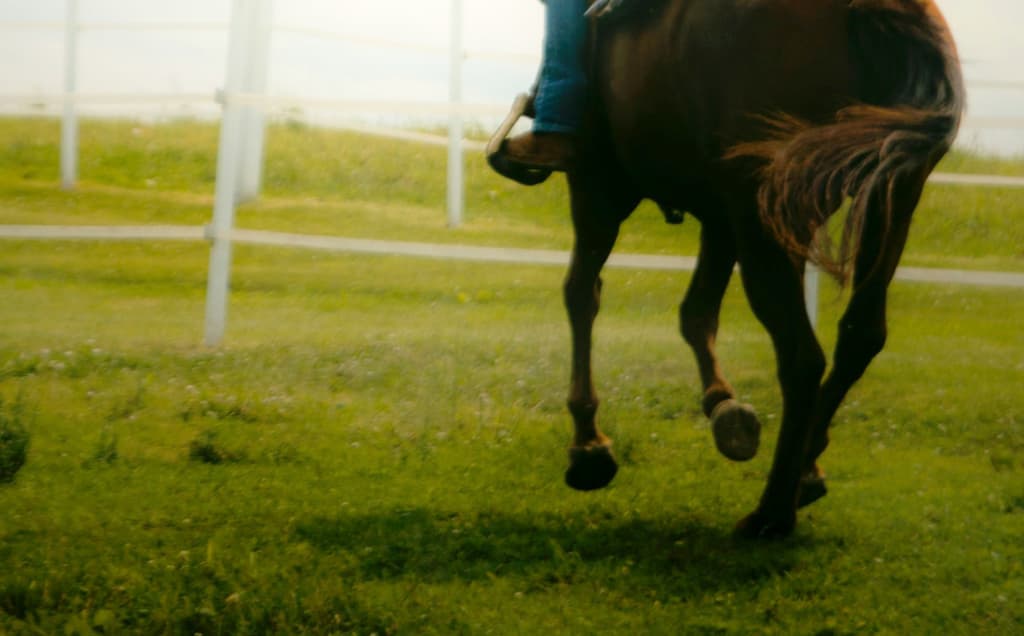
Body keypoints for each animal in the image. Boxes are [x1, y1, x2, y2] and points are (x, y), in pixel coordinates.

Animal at [489, 0, 964, 538]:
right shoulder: (720, 218)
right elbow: (695, 312)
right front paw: (724, 407)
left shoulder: (598, 188)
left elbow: (581, 296)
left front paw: (589, 447)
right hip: (887, 198)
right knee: (860, 336)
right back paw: (804, 473)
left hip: (761, 211)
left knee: (802, 356)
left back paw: (771, 514)